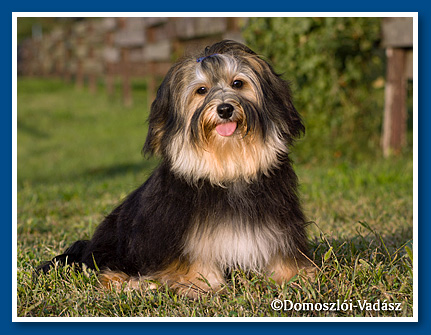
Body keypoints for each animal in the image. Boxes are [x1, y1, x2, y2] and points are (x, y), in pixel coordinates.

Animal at [38, 40, 316, 300]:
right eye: (201, 90)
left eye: (238, 83)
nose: (225, 109)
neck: (228, 169)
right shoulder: (184, 233)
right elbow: (197, 260)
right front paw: (202, 285)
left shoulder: (278, 224)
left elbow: (283, 253)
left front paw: (295, 277)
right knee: (106, 272)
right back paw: (136, 284)